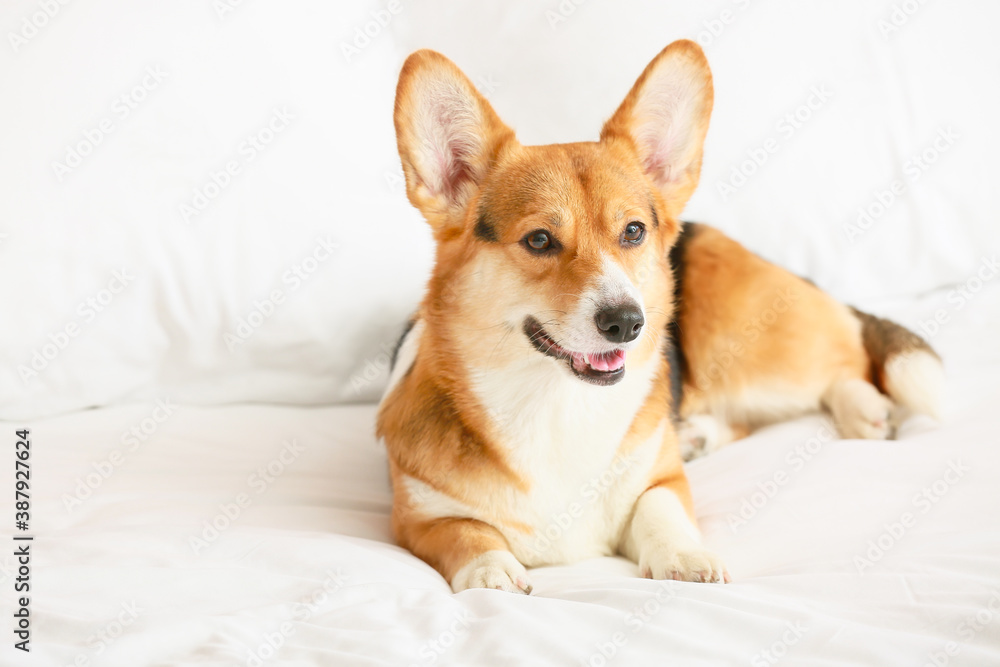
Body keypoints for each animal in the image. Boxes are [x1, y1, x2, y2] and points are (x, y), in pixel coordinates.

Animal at [378, 41, 940, 596]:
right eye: (539, 240)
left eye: (632, 231)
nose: (627, 323)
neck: (555, 404)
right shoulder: (416, 519)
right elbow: (466, 534)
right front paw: (491, 572)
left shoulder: (661, 482)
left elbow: (658, 508)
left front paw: (685, 555)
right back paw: (698, 435)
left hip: (744, 350)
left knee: (849, 357)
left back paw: (862, 407)